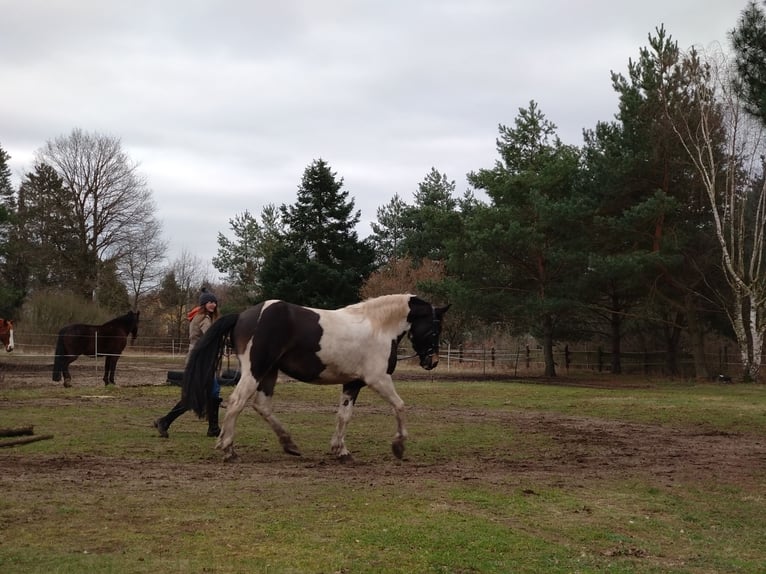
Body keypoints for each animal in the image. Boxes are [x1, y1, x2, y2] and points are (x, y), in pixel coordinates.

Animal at [182, 294, 448, 466]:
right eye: (435, 330)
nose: (432, 361)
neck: (378, 327)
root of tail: (243, 315)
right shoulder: (378, 379)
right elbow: (400, 406)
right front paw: (399, 446)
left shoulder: (353, 383)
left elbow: (344, 416)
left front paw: (341, 452)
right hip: (255, 370)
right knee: (237, 402)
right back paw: (228, 450)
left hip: (269, 372)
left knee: (261, 405)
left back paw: (289, 444)